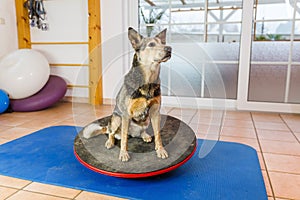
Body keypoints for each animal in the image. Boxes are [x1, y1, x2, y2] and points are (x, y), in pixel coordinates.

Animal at [82, 27, 171, 161]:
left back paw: (145, 135)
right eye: (151, 44)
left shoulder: (155, 113)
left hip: (146, 121)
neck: (147, 81)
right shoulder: (125, 114)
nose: (169, 49)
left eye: (163, 43)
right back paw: (110, 141)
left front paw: (160, 150)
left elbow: (158, 135)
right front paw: (123, 153)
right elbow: (124, 138)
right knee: (112, 133)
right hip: (117, 119)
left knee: (140, 132)